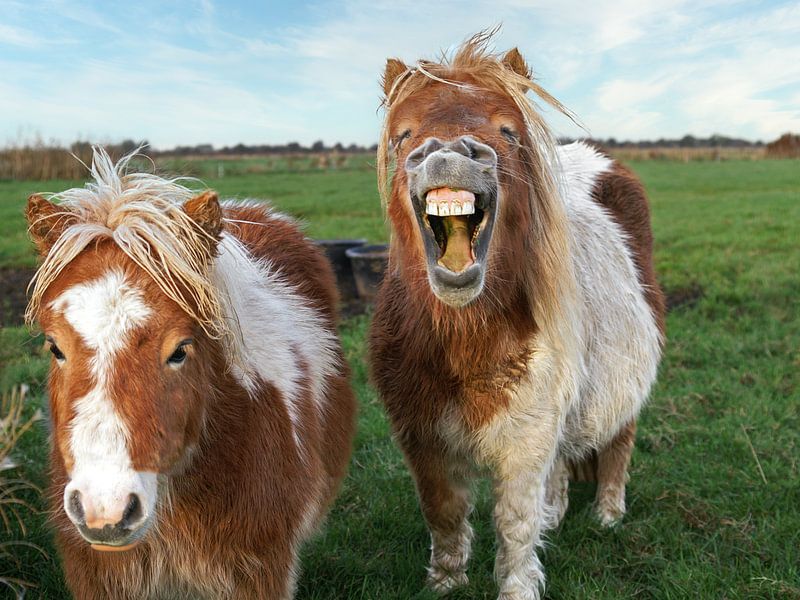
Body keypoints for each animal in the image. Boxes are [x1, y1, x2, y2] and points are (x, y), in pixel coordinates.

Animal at [369, 33, 665, 599]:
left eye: (507, 130)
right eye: (403, 135)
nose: (446, 154)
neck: (464, 338)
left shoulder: (525, 437)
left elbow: (514, 521)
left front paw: (517, 586)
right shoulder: (422, 437)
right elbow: (443, 512)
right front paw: (445, 580)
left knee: (618, 439)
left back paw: (608, 513)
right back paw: (559, 512)